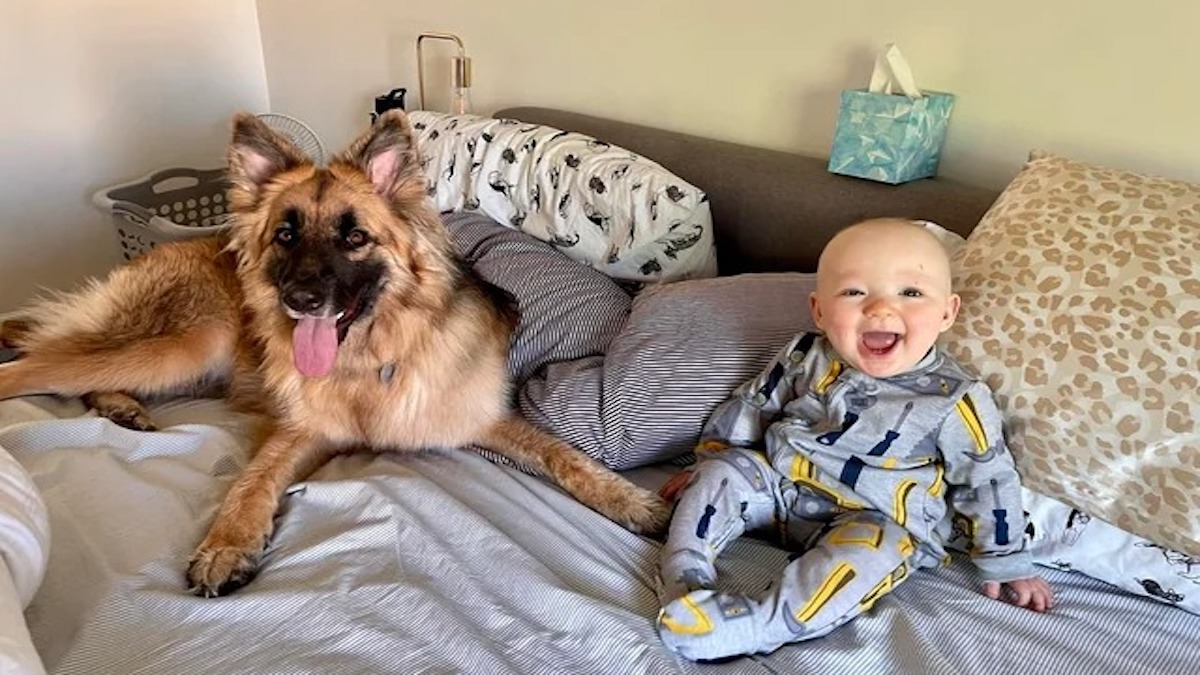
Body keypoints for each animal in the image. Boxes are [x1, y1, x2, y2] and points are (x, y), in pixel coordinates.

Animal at [0, 109, 667, 593]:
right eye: (285, 235)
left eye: (355, 237)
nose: (299, 300)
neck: (367, 363)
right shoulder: (302, 430)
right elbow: (254, 480)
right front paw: (226, 545)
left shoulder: (474, 418)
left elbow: (563, 457)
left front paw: (633, 502)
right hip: (183, 344)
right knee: (37, 363)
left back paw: (121, 408)